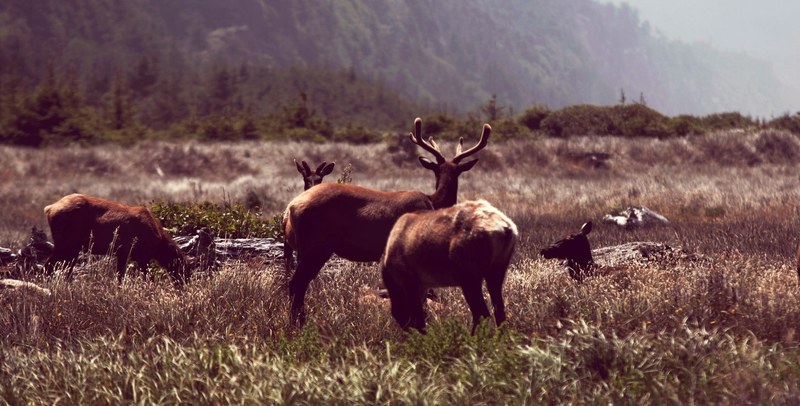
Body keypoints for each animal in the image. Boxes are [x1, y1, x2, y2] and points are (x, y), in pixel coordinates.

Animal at [43, 194, 190, 288]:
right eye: (184, 270)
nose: (184, 288)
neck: (158, 244)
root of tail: (49, 208)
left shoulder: (123, 253)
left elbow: (120, 277)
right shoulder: (141, 256)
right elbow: (147, 278)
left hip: (71, 246)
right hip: (67, 243)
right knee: (49, 267)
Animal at [283, 117, 491, 326]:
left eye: (456, 171)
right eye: (440, 170)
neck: (433, 202)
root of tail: (290, 208)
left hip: (301, 249)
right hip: (316, 246)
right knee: (296, 284)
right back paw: (299, 325)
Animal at [380, 200, 518, 333]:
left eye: (398, 313)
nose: (408, 331)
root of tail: (505, 228)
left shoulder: (409, 281)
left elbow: (419, 319)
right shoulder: (421, 286)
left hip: (470, 278)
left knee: (481, 314)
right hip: (496, 272)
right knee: (499, 311)